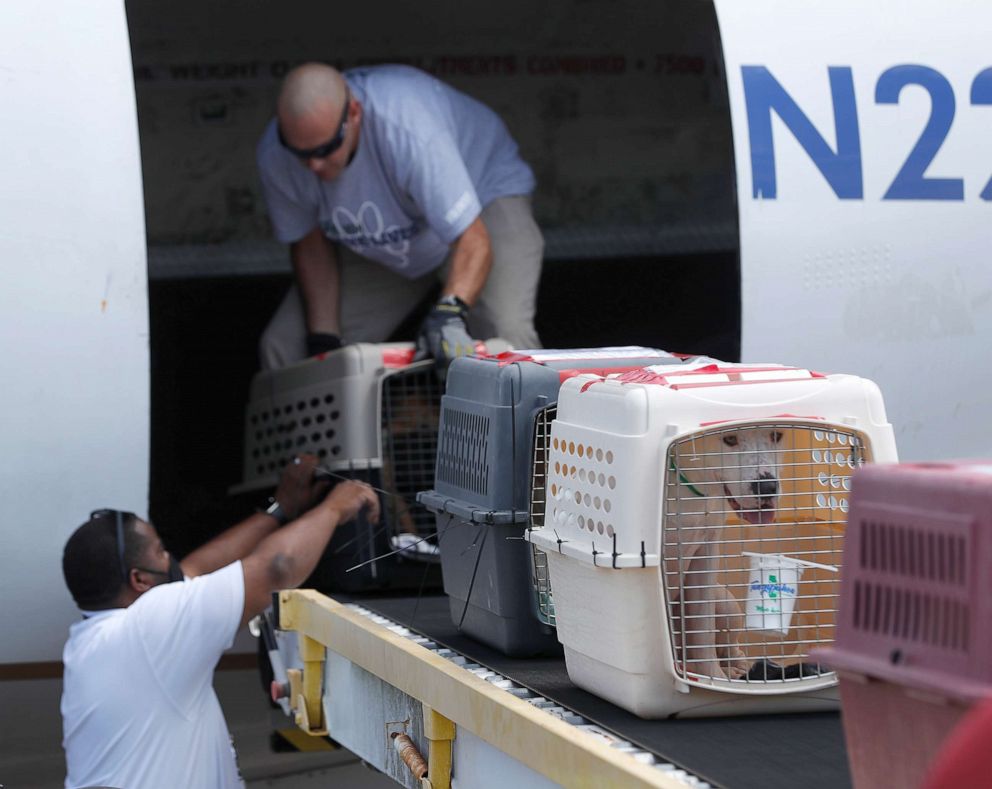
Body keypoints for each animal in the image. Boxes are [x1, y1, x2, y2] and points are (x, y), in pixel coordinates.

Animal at [668, 424, 868, 684]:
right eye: (729, 438)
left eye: (776, 435)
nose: (767, 487)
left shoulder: (706, 552)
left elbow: (703, 629)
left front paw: (713, 677)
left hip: (727, 604)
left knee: (728, 647)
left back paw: (734, 671)